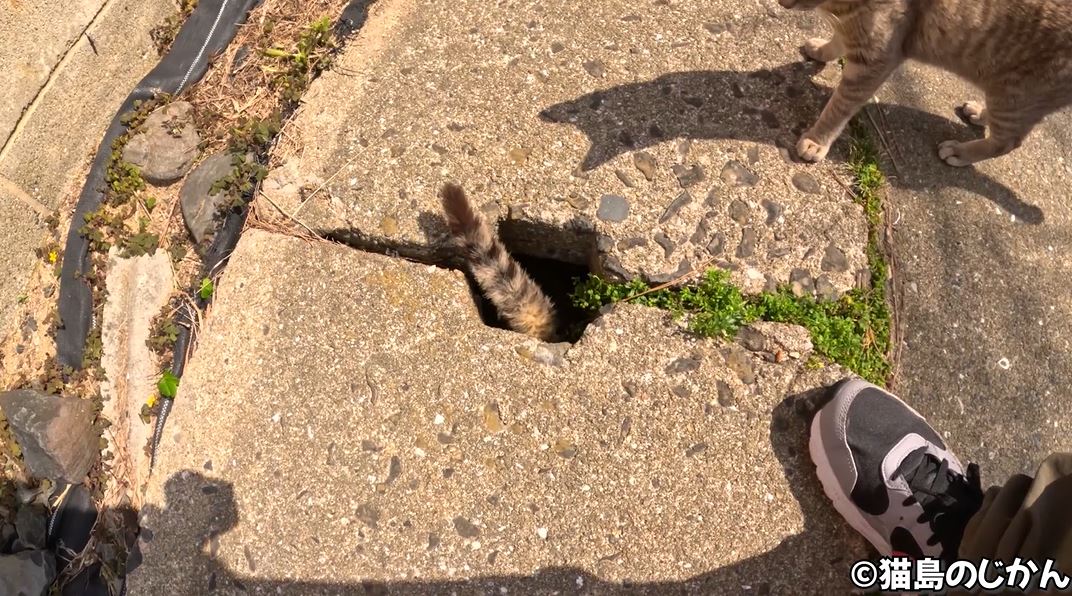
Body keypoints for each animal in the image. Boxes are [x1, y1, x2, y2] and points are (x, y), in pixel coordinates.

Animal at [780, 0, 1072, 167]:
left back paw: (961, 152)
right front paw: (821, 49)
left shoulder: (875, 57)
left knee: (1007, 142)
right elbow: (837, 41)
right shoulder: (857, 37)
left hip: (1015, 96)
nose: (784, 3)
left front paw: (817, 140)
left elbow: (839, 107)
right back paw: (979, 113)